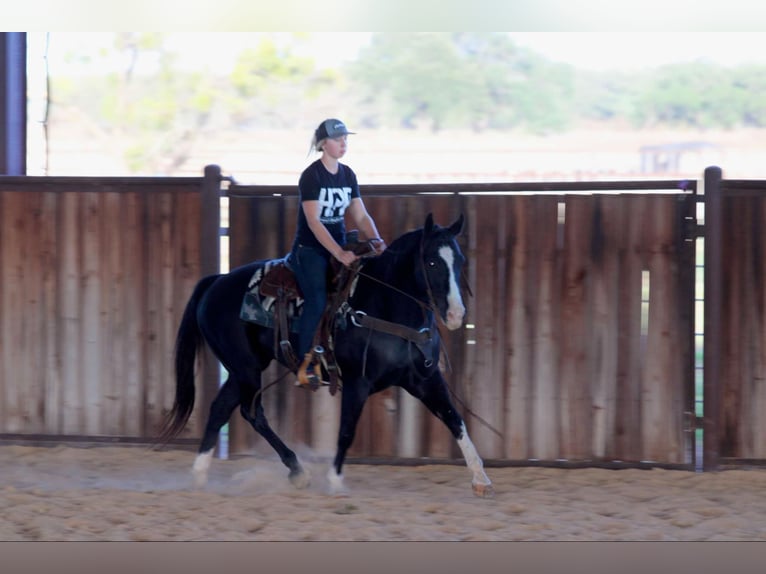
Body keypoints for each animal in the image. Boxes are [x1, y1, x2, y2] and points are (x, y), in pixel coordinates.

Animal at [164, 214, 498, 498]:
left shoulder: (425, 379)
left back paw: (208, 475)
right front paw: (336, 482)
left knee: (226, 408)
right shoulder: (357, 382)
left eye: (460, 260)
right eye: (431, 261)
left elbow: (455, 419)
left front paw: (480, 478)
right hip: (245, 367)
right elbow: (347, 430)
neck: (387, 305)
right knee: (248, 411)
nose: (456, 315)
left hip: (243, 368)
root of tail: (217, 281)